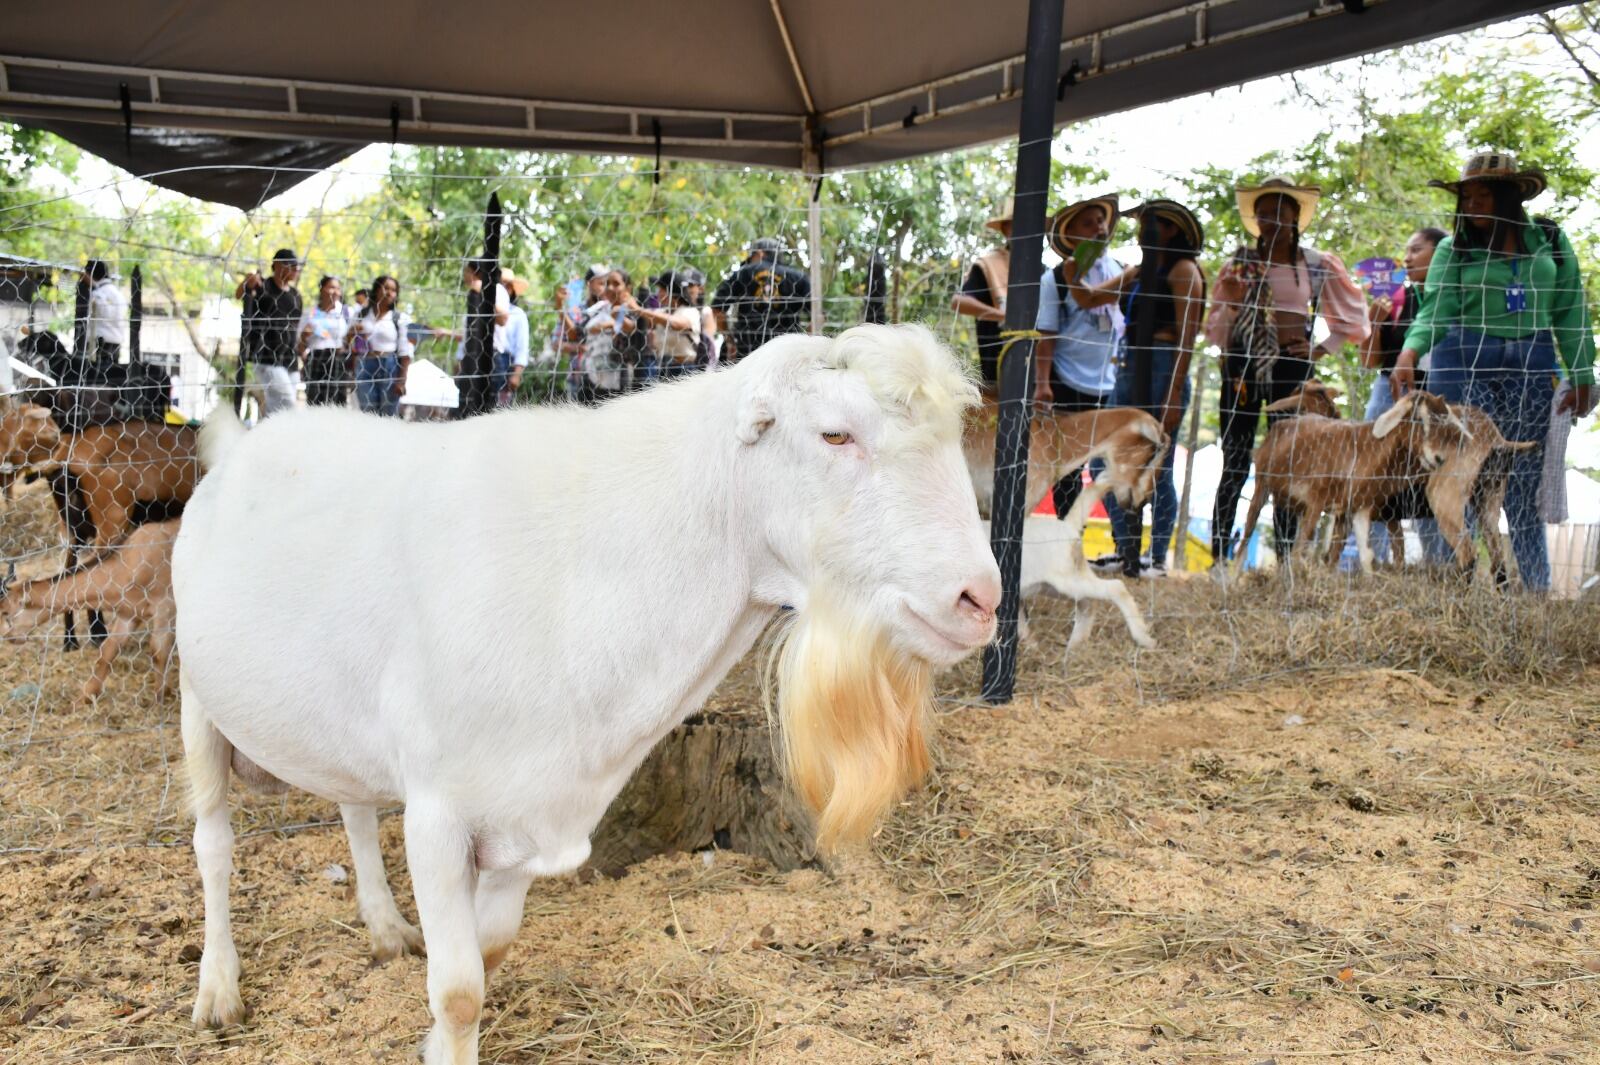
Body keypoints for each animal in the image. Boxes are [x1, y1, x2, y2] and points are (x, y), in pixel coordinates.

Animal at [0, 519, 178, 702]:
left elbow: (158, 651)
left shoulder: (164, 608)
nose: (6, 636)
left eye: (5, 612)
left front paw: (161, 696)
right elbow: (108, 649)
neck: (129, 564)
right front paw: (87, 694)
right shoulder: (129, 614)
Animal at [172, 324, 1001, 1063]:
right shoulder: (440, 814)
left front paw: (431, 1037)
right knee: (213, 844)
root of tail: (241, 446)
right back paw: (218, 988)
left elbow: (490, 954)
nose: (980, 598)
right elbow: (460, 990)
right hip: (195, 697)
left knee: (352, 806)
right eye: (835, 435)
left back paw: (383, 926)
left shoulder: (526, 814)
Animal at [1235, 391, 1468, 575]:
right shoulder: (1316, 501)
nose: (1439, 459)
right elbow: (1300, 550)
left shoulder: (1358, 507)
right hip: (1262, 486)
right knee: (1247, 537)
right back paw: (1235, 579)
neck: (1363, 450)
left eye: (1446, 423)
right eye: (1418, 419)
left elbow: (1365, 555)